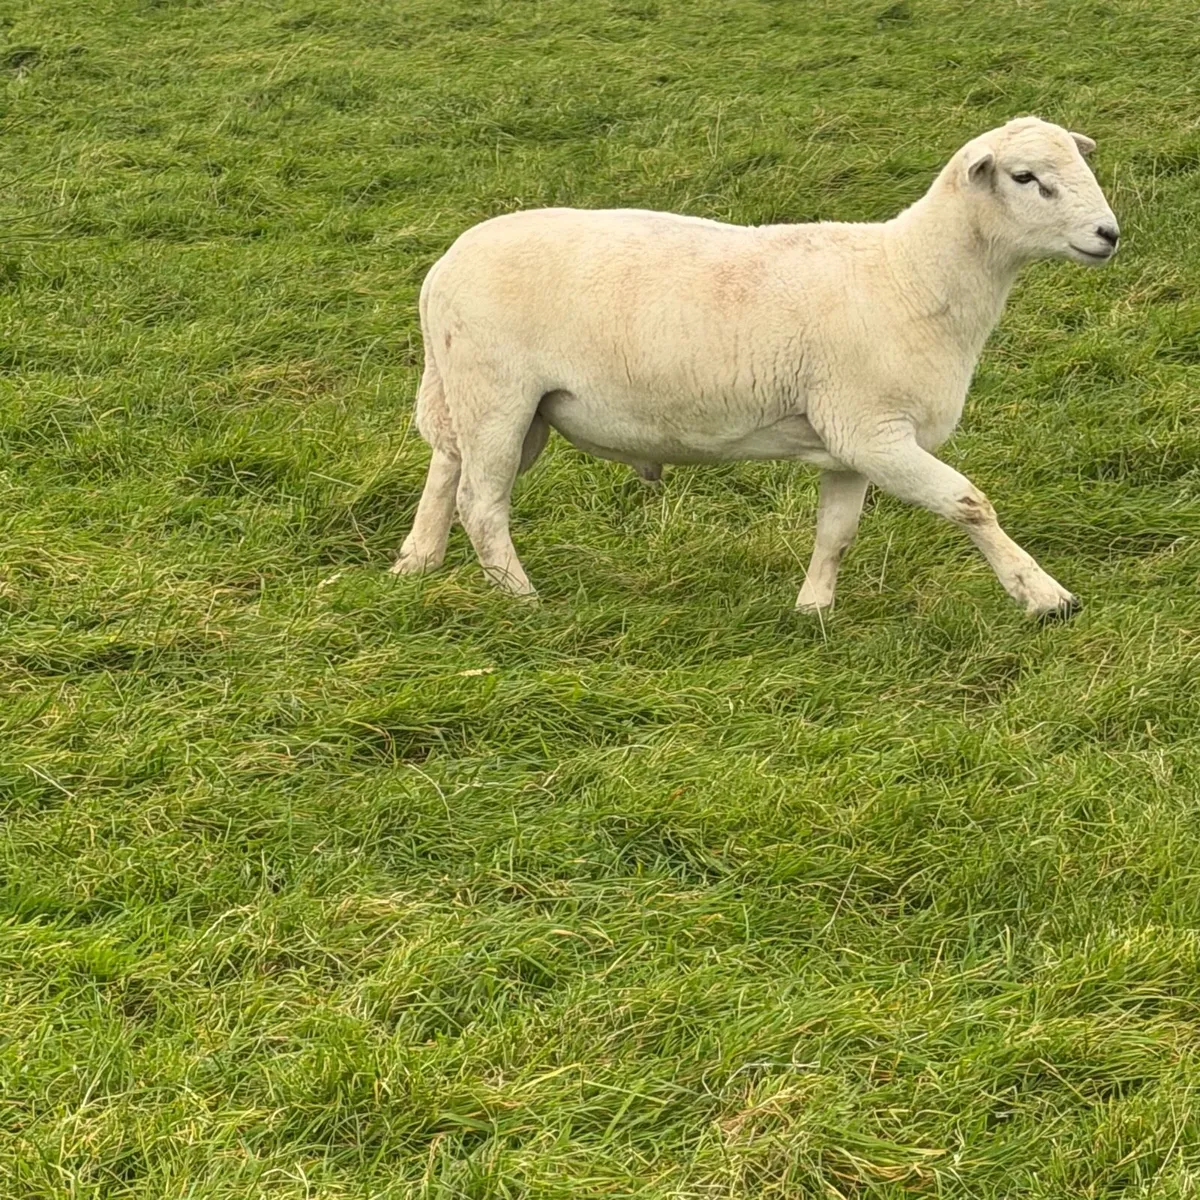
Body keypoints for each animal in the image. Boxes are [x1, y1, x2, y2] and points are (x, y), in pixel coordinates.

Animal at [395, 116, 1118, 617]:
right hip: (497, 392)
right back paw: (522, 599)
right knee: (481, 503)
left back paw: (417, 563)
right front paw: (1044, 596)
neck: (911, 275)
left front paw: (813, 610)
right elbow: (970, 504)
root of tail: (440, 270)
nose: (1109, 235)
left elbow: (838, 533)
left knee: (447, 469)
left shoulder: (851, 446)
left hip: (493, 401)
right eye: (1025, 178)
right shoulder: (875, 431)